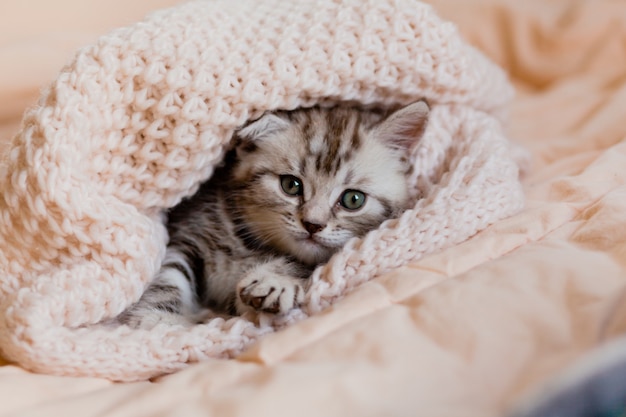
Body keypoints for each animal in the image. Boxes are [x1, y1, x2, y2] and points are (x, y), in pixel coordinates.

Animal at [119, 99, 426, 326]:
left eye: (353, 199)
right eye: (291, 185)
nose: (312, 224)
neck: (249, 242)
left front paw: (275, 281)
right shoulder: (188, 231)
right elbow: (169, 273)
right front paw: (157, 318)